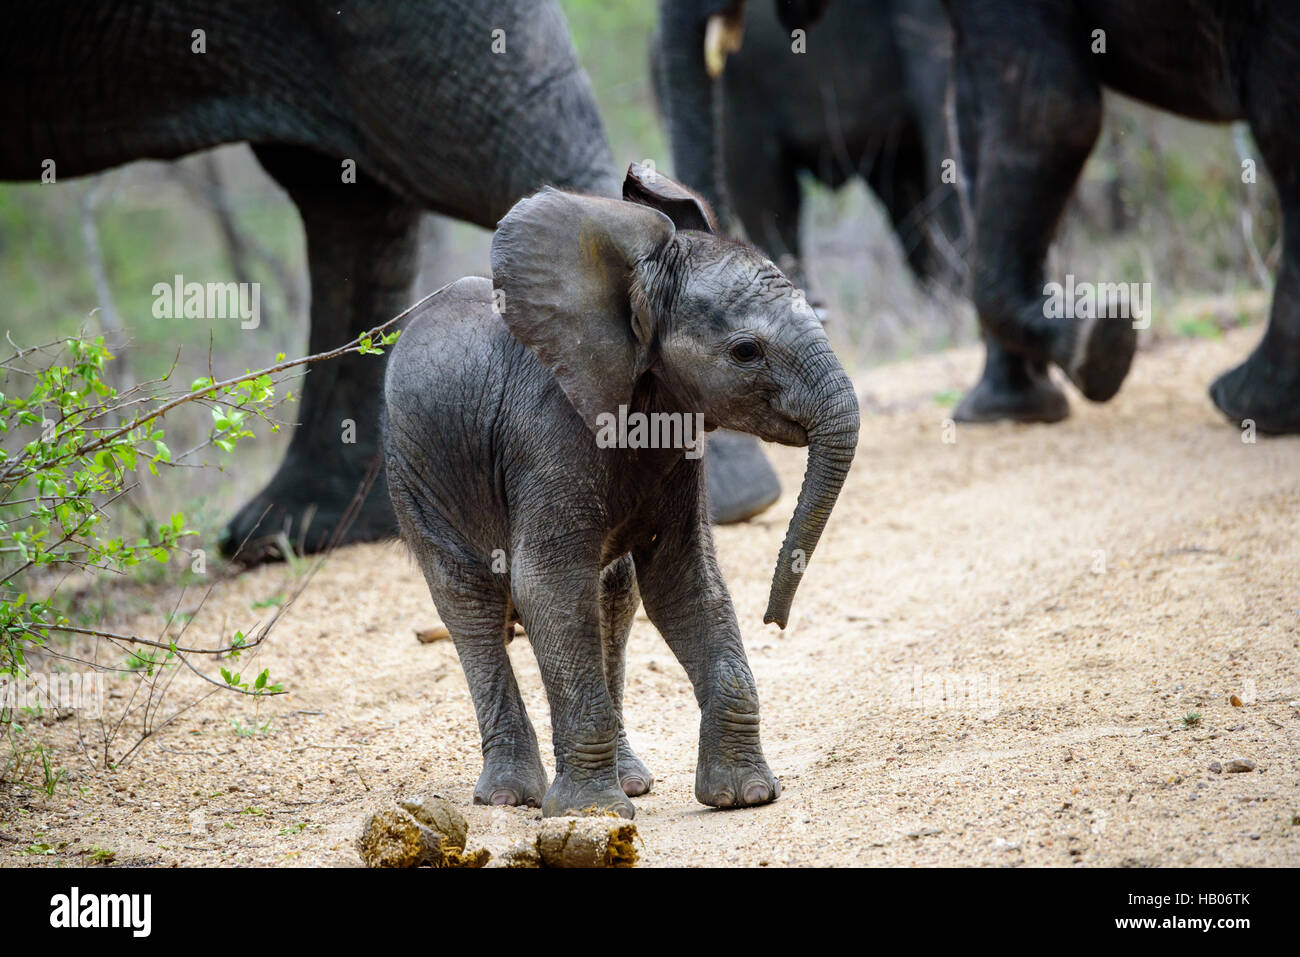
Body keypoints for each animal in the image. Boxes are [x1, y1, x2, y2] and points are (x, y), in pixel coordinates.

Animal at [382, 165, 860, 817]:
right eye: (745, 351)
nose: (774, 621)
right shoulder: (547, 436)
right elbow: (548, 587)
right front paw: (589, 814)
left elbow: (682, 581)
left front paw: (744, 797)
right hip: (412, 475)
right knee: (468, 605)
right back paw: (511, 797)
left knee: (615, 594)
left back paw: (630, 781)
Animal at [943, 0, 1300, 432]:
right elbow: (971, 122)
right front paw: (1008, 408)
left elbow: (1050, 114)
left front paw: (1098, 348)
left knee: (1280, 127)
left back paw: (1246, 404)